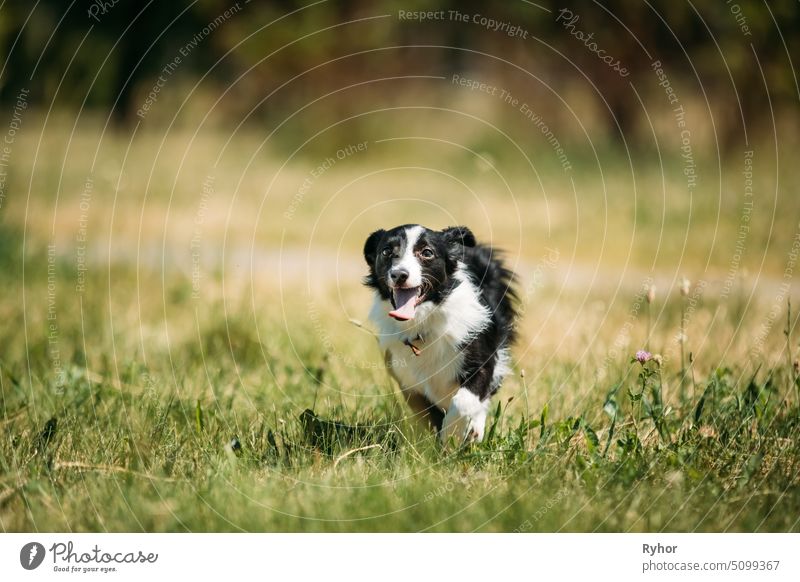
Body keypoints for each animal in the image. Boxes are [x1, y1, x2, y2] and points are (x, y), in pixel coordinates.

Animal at [364, 226, 520, 444]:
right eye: (386, 251)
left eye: (427, 252)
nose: (399, 275)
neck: (422, 323)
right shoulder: (408, 381)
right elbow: (431, 415)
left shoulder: (481, 358)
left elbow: (464, 401)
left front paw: (456, 434)